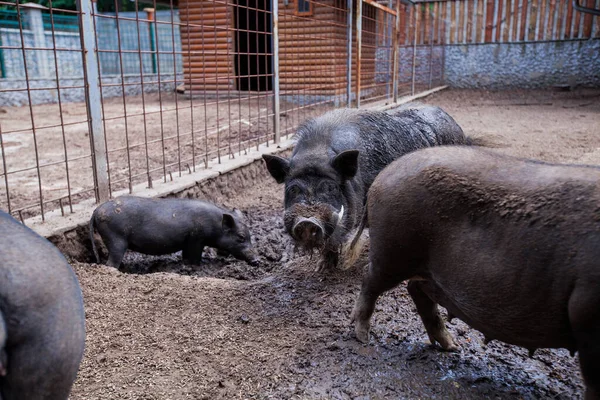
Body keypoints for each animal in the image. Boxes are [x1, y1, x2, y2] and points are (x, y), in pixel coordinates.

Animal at [89, 195, 258, 268]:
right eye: (241, 237)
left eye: (250, 236)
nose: (257, 260)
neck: (215, 226)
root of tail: (96, 210)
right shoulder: (196, 238)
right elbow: (194, 255)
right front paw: (198, 265)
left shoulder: (188, 241)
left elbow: (185, 255)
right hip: (115, 238)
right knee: (111, 262)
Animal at [262, 105, 468, 272]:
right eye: (293, 189)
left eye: (331, 187)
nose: (307, 221)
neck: (317, 151)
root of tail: (454, 122)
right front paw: (321, 270)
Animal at [350, 147, 600, 400]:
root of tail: (383, 176)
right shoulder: (587, 315)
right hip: (393, 251)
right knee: (370, 282)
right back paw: (363, 337)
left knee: (416, 289)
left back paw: (451, 347)